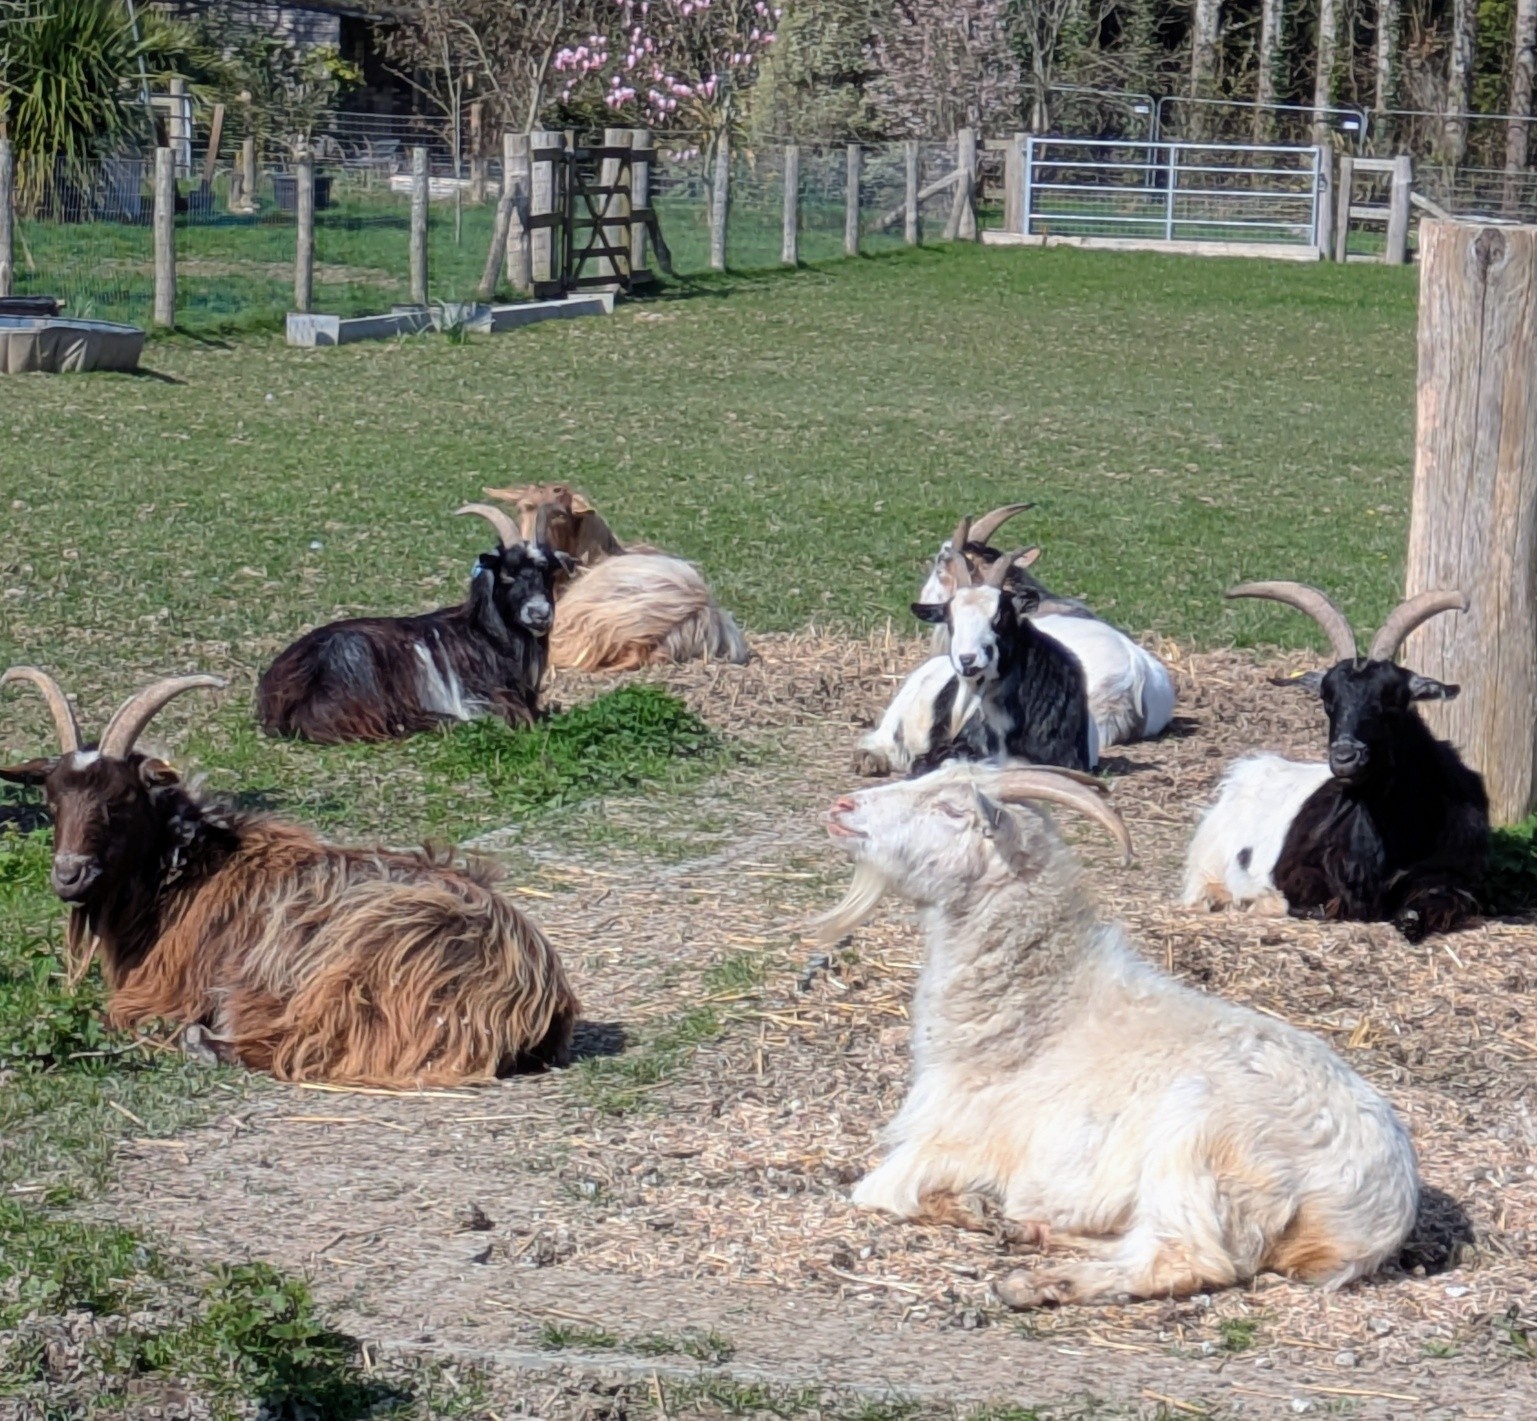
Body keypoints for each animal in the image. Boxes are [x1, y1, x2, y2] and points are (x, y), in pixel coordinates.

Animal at [0, 669, 579, 1086]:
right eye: (52, 800)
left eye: (120, 800)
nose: (69, 876)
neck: (191, 871)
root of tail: (533, 991)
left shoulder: (160, 992)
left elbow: (118, 1014)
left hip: (348, 973)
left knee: (302, 1047)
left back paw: (202, 1043)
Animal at [256, 505, 571, 744]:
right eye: (507, 573)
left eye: (548, 573)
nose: (540, 613)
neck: (483, 635)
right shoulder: (480, 699)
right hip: (352, 656)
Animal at [812, 763, 1419, 1307]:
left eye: (951, 809)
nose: (841, 807)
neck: (1043, 1014)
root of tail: (1374, 1217)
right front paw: (981, 1211)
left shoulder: (948, 1145)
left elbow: (877, 1192)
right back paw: (1029, 1231)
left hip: (1202, 1147)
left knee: (1188, 1260)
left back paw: (1036, 1282)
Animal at [1182, 582, 1488, 941]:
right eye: (1328, 698)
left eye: (1393, 699)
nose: (1345, 757)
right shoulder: (1299, 870)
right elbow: (1311, 903)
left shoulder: (1454, 876)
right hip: (1208, 862)